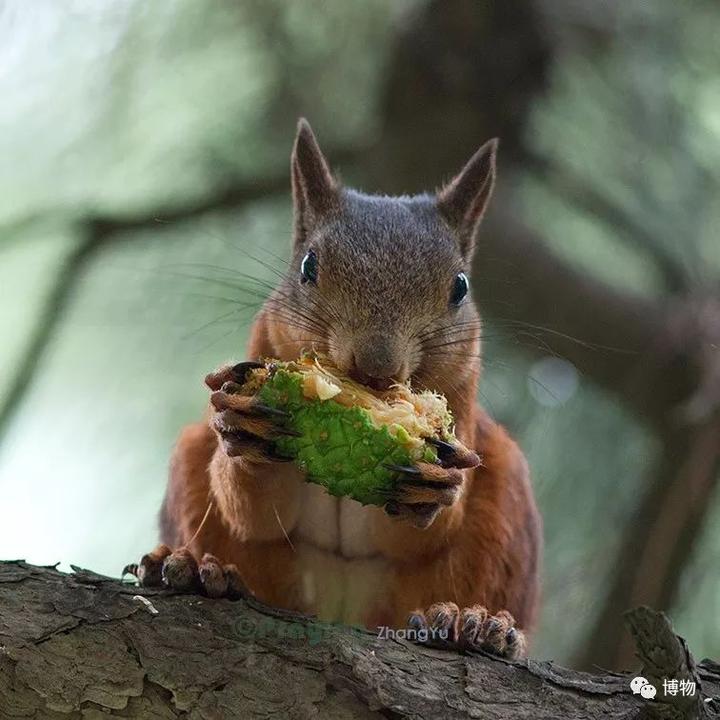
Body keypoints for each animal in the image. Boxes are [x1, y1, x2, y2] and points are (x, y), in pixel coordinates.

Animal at [126, 121, 540, 660]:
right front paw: (249, 432)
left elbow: (419, 536)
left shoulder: (462, 400)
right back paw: (196, 570)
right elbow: (254, 512)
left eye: (460, 287)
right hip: (194, 467)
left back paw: (474, 623)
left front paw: (430, 487)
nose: (377, 367)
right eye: (308, 266)